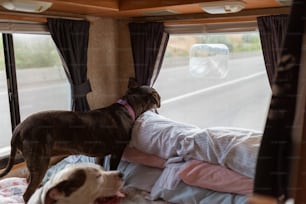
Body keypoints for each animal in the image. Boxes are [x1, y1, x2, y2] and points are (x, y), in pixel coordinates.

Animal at [0, 85, 161, 202]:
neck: (127, 107)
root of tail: (18, 129)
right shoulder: (117, 152)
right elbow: (113, 167)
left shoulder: (100, 155)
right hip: (40, 159)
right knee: (27, 193)